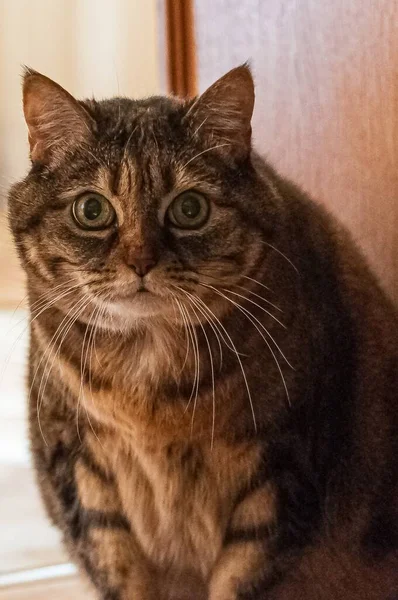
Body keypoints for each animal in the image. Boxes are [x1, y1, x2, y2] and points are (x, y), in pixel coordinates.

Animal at [7, 65, 398, 600]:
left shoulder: (279, 472)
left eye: (190, 209)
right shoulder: (82, 476)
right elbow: (121, 573)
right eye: (92, 210)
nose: (141, 261)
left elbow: (241, 578)